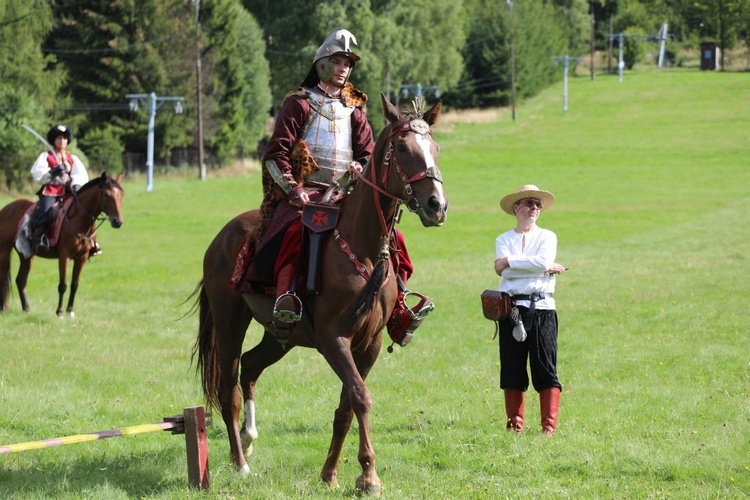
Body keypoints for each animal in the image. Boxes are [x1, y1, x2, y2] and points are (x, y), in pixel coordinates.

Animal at [0, 173, 125, 316]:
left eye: (121, 194)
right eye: (106, 194)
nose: (118, 222)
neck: (80, 220)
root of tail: (6, 209)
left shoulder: (81, 258)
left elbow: (74, 284)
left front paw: (70, 311)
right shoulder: (64, 257)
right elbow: (63, 285)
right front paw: (59, 312)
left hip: (27, 255)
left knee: (21, 280)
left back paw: (27, 309)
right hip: (4, 251)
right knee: (3, 278)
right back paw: (3, 308)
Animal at [192, 94, 446, 496]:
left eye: (435, 148)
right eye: (404, 149)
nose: (437, 205)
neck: (362, 247)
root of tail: (221, 238)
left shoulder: (369, 344)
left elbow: (347, 406)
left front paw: (330, 473)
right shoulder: (333, 339)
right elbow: (361, 397)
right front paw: (369, 476)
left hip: (281, 335)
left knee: (251, 366)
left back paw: (250, 436)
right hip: (230, 322)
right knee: (227, 388)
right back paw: (240, 462)